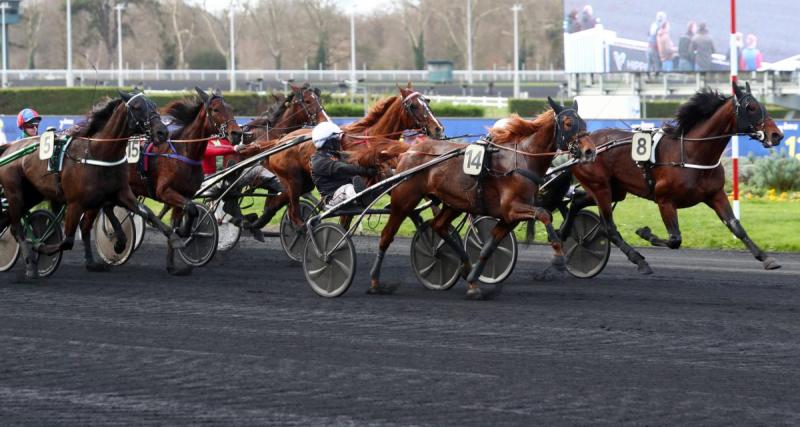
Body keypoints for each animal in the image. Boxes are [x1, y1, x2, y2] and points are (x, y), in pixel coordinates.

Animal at [0, 91, 177, 280]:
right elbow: (67, 241)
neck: (99, 153)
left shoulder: (116, 194)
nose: (162, 132)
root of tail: (9, 148)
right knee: (17, 226)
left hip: (32, 194)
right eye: (137, 107)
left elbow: (145, 213)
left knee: (9, 222)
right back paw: (30, 267)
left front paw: (175, 238)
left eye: (154, 105)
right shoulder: (75, 204)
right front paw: (41, 246)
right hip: (15, 194)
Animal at [125, 87, 242, 276]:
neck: (185, 152)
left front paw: (173, 262)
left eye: (231, 108)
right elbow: (192, 209)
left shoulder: (184, 194)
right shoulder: (165, 192)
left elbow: (183, 217)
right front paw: (184, 233)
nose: (237, 134)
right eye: (215, 110)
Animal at [241, 83, 446, 231]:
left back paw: (253, 223)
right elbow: (344, 220)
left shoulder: (387, 179)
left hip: (303, 181)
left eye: (427, 102)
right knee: (293, 212)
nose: (438, 128)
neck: (372, 140)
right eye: (413, 105)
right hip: (293, 179)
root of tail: (281, 140)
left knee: (278, 202)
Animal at [368, 98, 592, 300]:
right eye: (568, 123)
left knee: (438, 225)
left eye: (584, 123)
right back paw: (376, 283)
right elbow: (544, 214)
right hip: (404, 199)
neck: (521, 158)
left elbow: (488, 248)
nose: (589, 151)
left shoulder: (509, 217)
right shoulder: (512, 208)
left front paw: (474, 283)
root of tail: (410, 149)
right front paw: (559, 258)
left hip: (455, 202)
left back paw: (465, 265)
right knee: (387, 235)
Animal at [572, 83, 784, 276]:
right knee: (608, 227)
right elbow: (675, 239)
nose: (777, 135)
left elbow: (736, 226)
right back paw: (638, 260)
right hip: (601, 188)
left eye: (762, 106)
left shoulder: (716, 194)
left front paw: (766, 258)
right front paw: (645, 233)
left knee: (577, 202)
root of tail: (580, 145)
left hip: (615, 190)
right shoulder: (664, 200)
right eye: (751, 107)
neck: (691, 154)